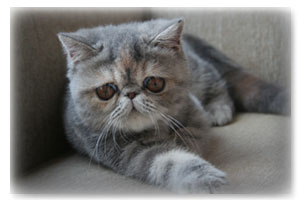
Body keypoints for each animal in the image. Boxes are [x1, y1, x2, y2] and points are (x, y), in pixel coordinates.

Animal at [57, 18, 290, 194]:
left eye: (154, 83)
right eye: (106, 91)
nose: (131, 93)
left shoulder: (194, 114)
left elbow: (192, 135)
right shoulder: (121, 151)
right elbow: (171, 162)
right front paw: (211, 183)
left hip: (201, 73)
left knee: (217, 81)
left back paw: (218, 110)